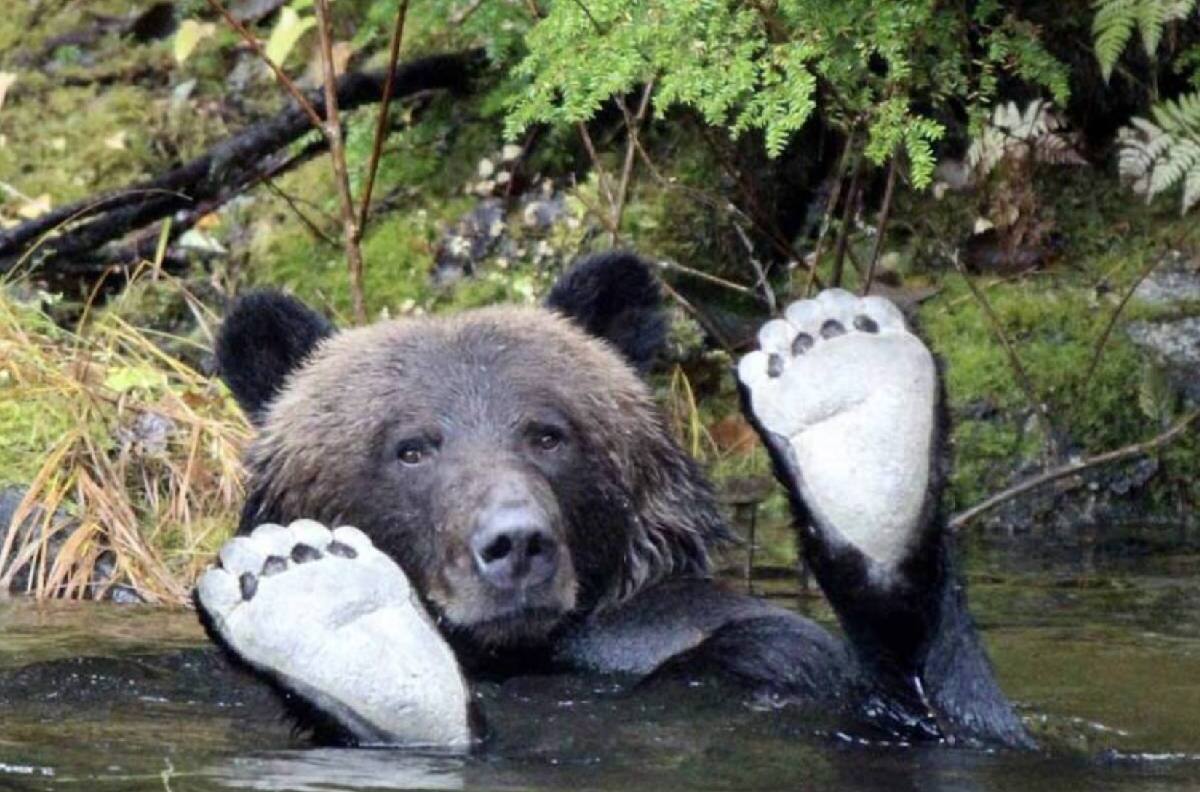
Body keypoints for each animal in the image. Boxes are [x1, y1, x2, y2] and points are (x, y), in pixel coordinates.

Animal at [196, 251, 1033, 750]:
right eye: (411, 447)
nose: (515, 544)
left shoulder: (720, 638)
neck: (519, 653)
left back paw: (848, 385)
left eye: (547, 432)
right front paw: (322, 599)